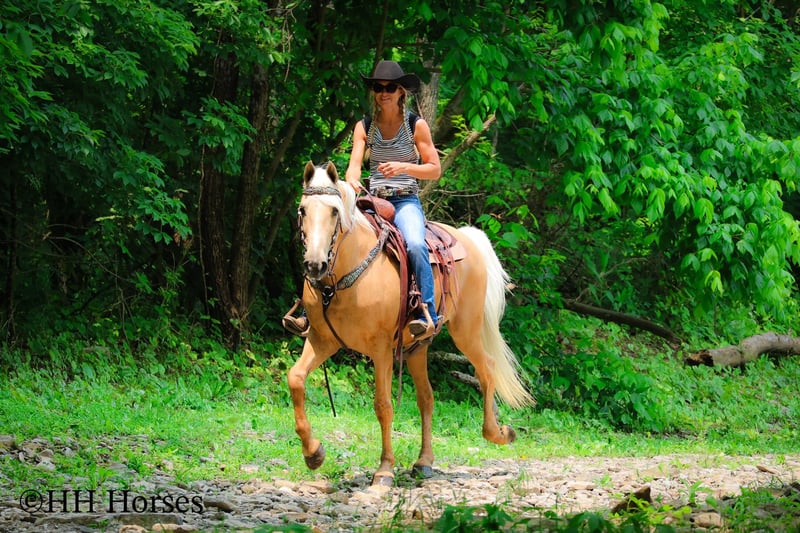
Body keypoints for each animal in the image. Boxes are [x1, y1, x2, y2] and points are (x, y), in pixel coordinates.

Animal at [287, 161, 534, 486]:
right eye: (303, 210)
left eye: (334, 212)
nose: (315, 265)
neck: (342, 278)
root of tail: (468, 237)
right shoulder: (321, 340)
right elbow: (295, 378)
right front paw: (313, 453)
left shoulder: (380, 349)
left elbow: (383, 405)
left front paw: (384, 470)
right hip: (417, 347)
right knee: (426, 398)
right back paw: (424, 462)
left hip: (465, 330)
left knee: (487, 369)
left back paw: (499, 433)